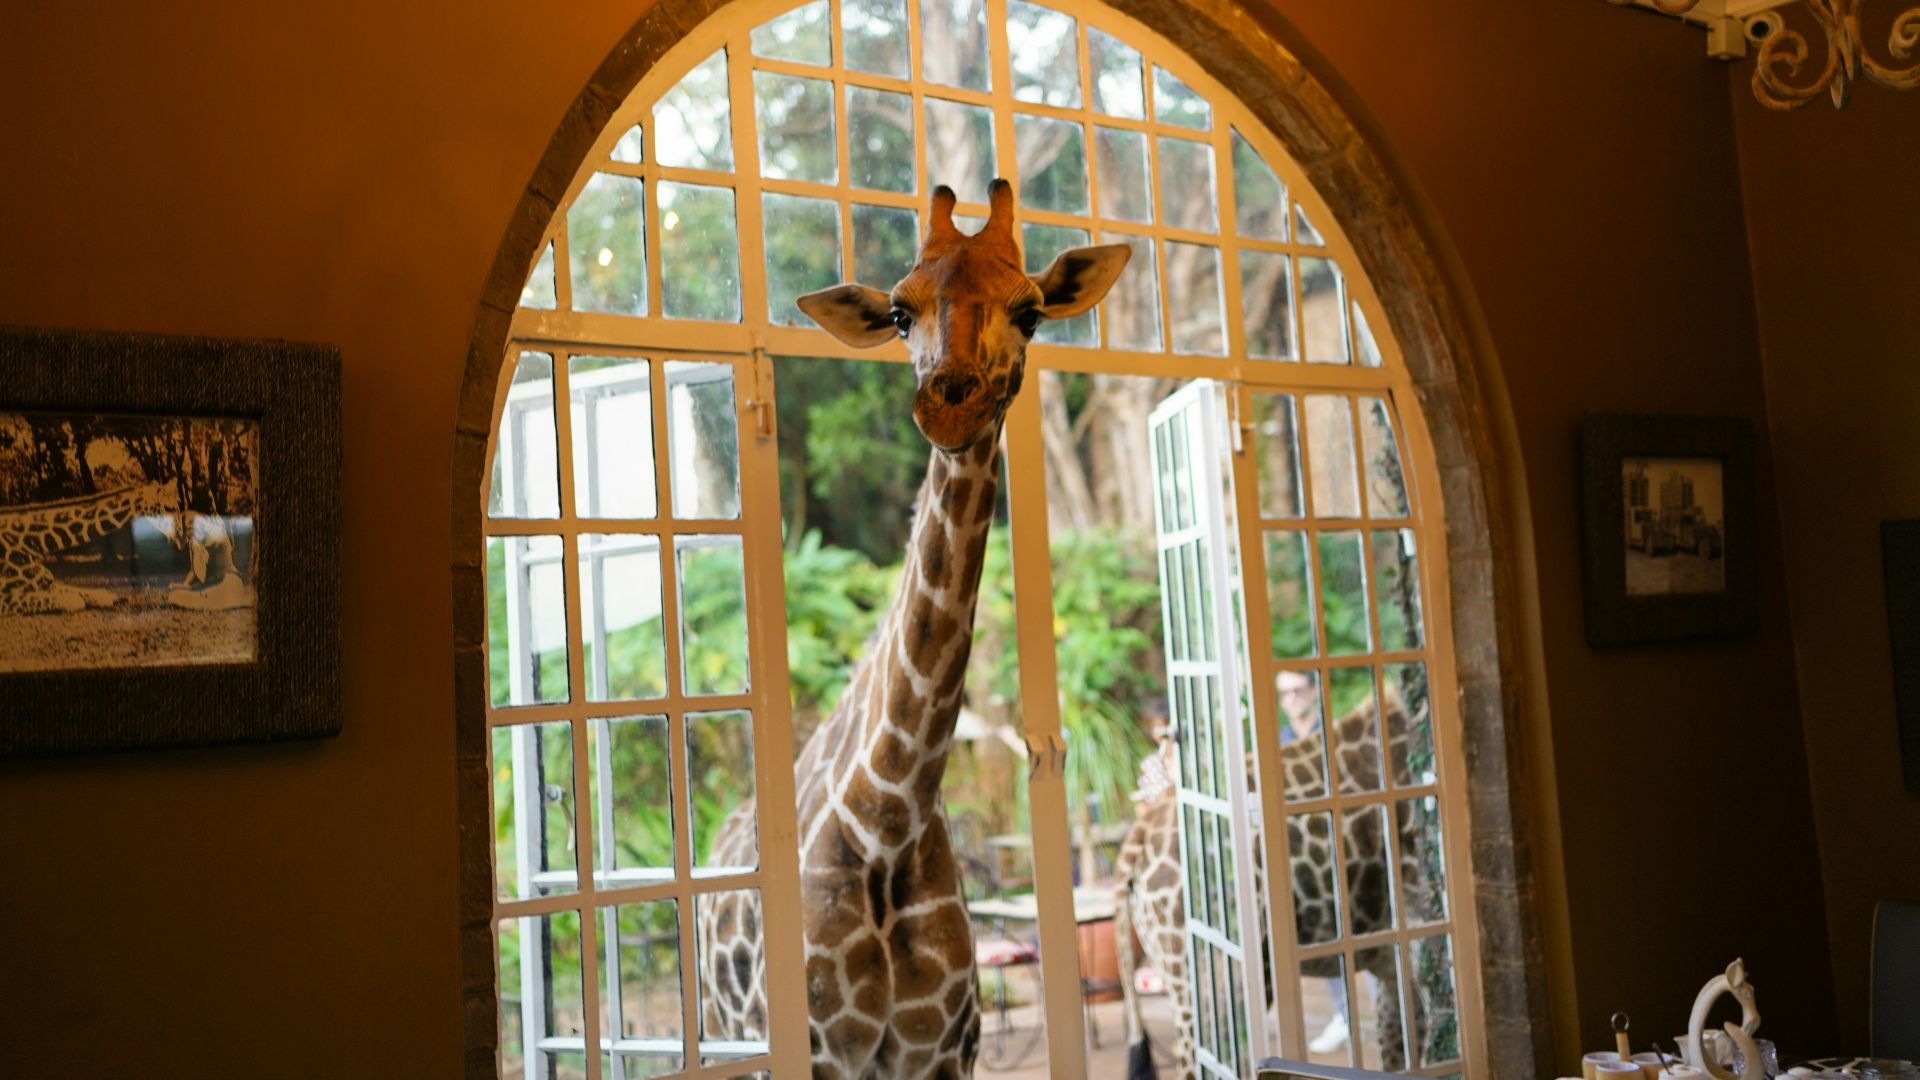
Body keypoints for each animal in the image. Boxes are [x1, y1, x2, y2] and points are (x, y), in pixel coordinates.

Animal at [0, 482, 175, 617]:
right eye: (168, 505)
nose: (176, 533)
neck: (31, 544)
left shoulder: (47, 582)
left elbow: (88, 591)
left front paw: (113, 598)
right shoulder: (6, 597)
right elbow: (74, 600)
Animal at [694, 179, 1131, 1080]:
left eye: (1031, 311)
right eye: (900, 312)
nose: (949, 400)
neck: (887, 818)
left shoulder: (941, 1054)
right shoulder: (820, 1054)